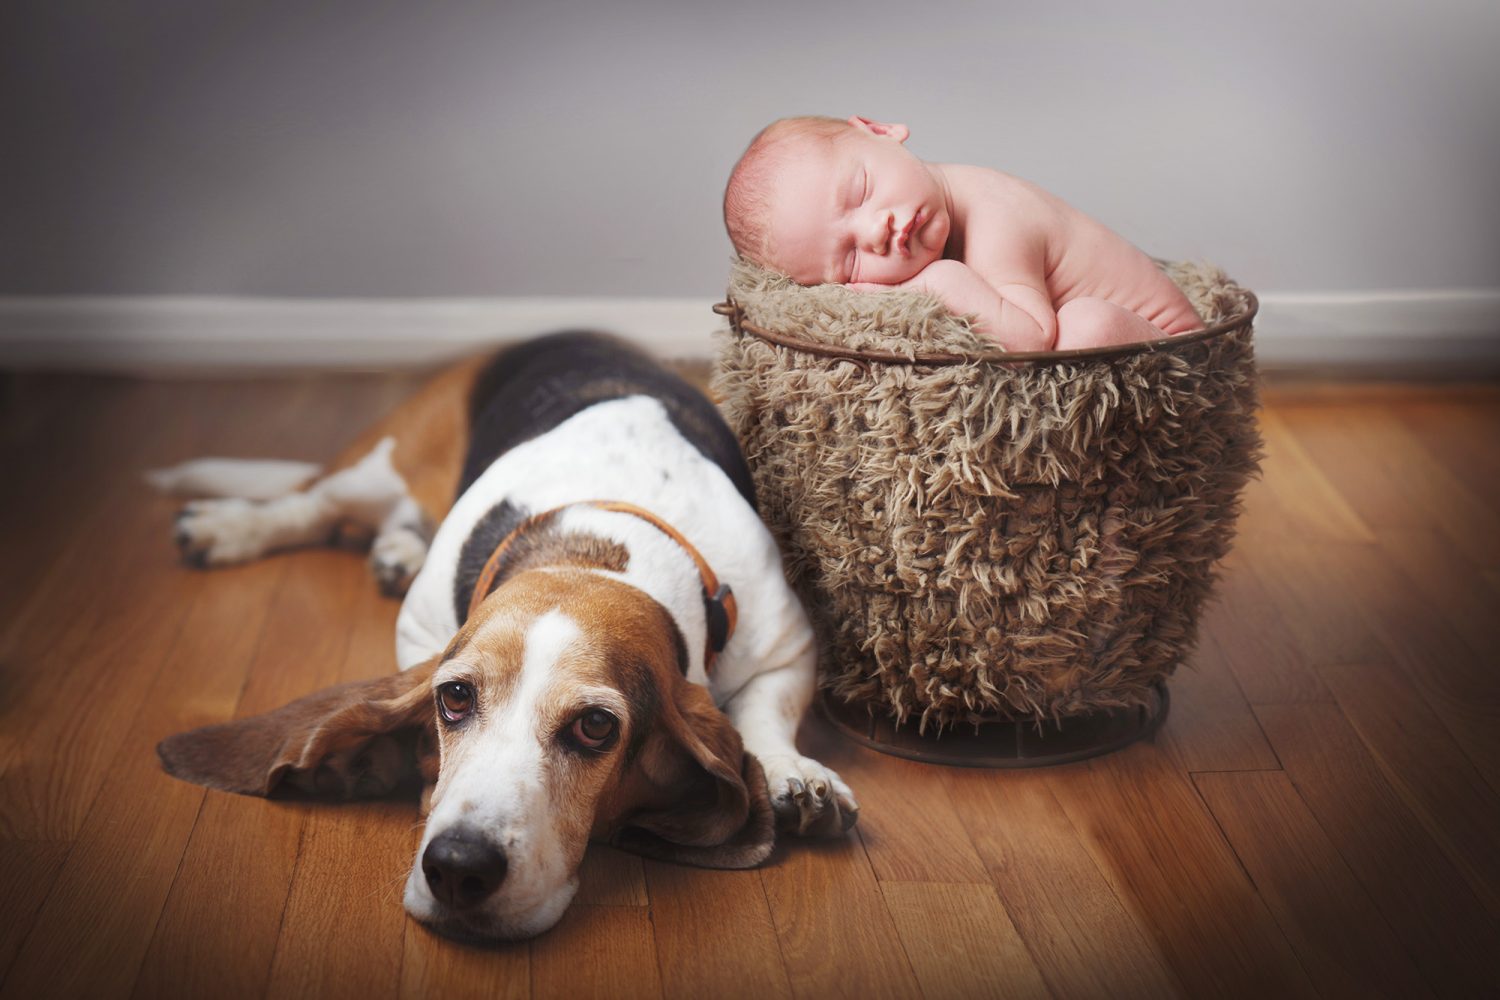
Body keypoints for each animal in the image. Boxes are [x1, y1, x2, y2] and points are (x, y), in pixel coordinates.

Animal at [155, 332, 858, 941]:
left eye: (596, 727)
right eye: (454, 697)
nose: (459, 868)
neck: (594, 554)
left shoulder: (789, 643)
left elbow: (766, 712)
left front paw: (794, 773)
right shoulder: (420, 628)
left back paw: (395, 548)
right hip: (376, 469)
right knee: (311, 503)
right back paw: (227, 528)